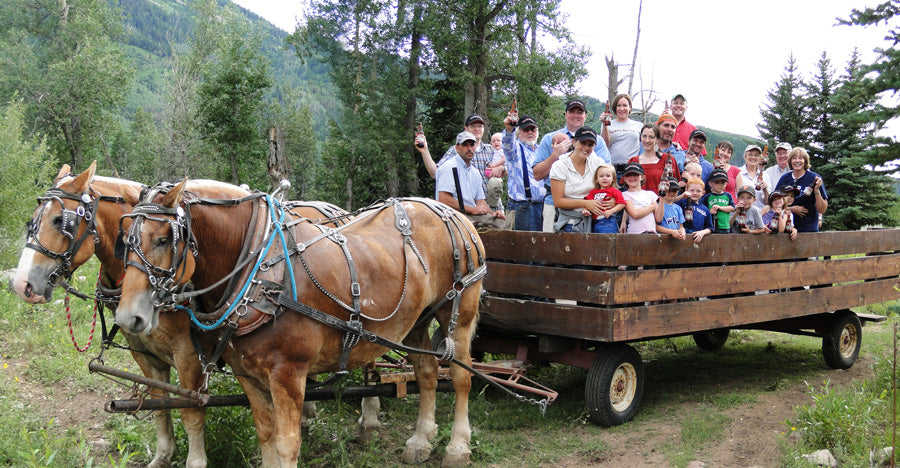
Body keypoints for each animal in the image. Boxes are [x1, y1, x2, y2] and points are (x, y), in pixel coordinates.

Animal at [114, 178, 485, 467]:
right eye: (126, 240)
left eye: (164, 239)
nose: (128, 316)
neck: (261, 274)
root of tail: (453, 214)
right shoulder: (248, 374)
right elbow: (266, 436)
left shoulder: (288, 375)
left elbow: (287, 444)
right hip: (417, 321)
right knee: (426, 373)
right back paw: (421, 440)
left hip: (459, 315)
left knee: (461, 377)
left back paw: (457, 447)